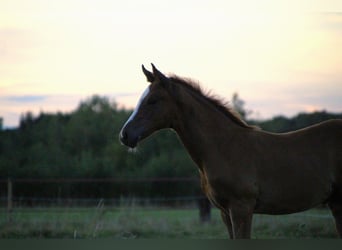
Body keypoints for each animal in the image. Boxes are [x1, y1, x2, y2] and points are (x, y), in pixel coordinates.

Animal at [119, 64, 342, 238]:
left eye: (153, 100)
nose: (125, 135)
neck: (225, 147)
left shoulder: (241, 208)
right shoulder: (225, 212)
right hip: (335, 202)